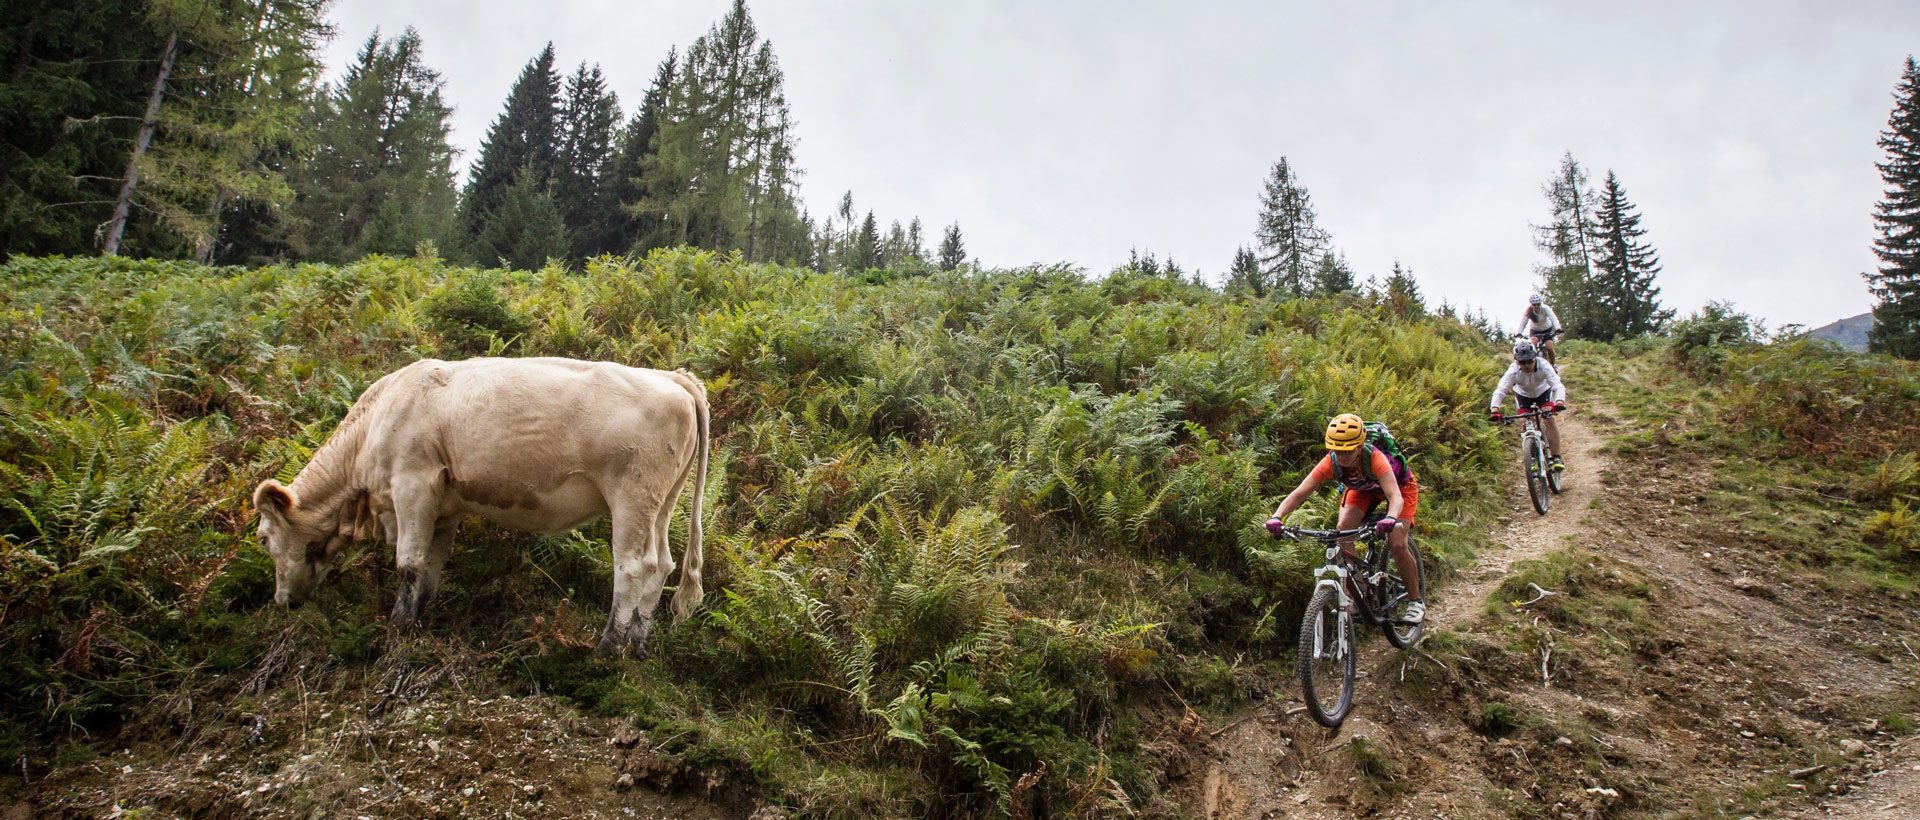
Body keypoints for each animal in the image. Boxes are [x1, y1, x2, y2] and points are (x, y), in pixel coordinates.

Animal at [249, 359, 706, 660]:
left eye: (263, 537)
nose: (281, 600)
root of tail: (673, 377)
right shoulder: (444, 506)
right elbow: (431, 563)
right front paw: (421, 614)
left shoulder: (413, 484)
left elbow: (408, 562)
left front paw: (398, 625)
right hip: (662, 503)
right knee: (662, 565)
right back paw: (639, 644)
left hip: (632, 497)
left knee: (632, 567)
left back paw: (608, 647)